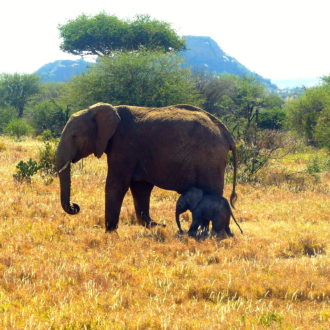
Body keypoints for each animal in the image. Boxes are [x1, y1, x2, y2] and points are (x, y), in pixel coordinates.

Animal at [56, 102, 237, 233]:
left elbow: (116, 185)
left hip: (210, 161)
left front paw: (109, 232)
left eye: (74, 136)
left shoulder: (124, 145)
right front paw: (155, 226)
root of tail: (226, 133)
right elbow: (140, 187)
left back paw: (207, 233)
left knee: (211, 194)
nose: (75, 206)